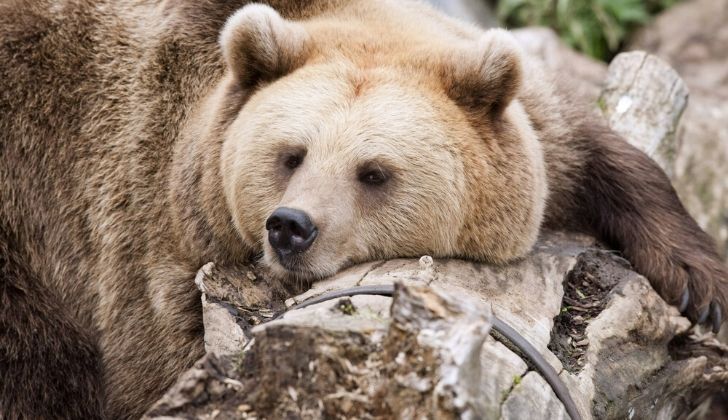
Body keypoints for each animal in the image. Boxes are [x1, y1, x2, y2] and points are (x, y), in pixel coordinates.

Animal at [0, 0, 726, 418]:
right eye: (291, 154)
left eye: (373, 172)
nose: (290, 227)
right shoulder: (147, 231)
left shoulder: (537, 131)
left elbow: (607, 158)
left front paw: (702, 284)